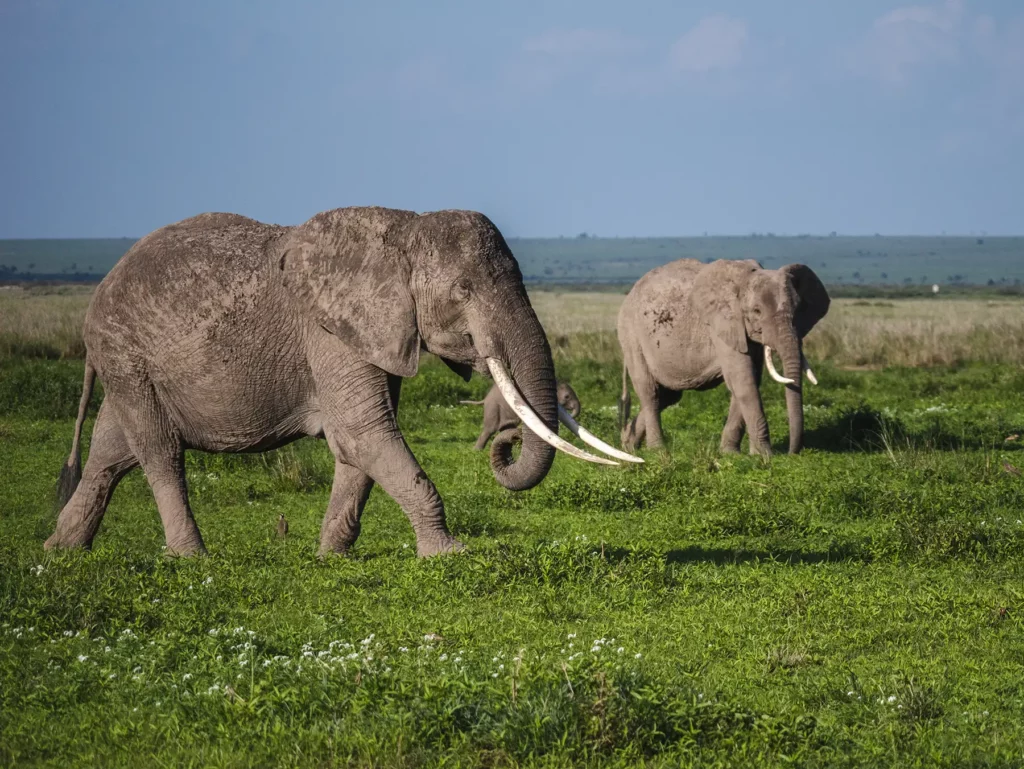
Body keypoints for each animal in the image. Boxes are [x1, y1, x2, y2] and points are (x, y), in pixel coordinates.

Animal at [45, 207, 637, 558]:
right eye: (463, 290)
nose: (507, 444)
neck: (404, 230)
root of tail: (101, 290)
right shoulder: (330, 332)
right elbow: (364, 433)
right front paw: (450, 554)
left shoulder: (378, 333)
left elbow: (357, 446)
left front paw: (332, 556)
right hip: (127, 354)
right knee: (158, 451)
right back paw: (191, 558)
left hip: (130, 364)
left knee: (111, 451)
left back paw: (60, 552)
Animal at [617, 258, 830, 456]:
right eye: (757, 311)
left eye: (799, 309)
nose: (792, 453)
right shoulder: (721, 324)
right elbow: (743, 381)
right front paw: (764, 456)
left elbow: (749, 380)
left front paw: (732, 454)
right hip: (631, 334)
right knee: (650, 392)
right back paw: (657, 451)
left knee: (668, 396)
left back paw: (628, 444)